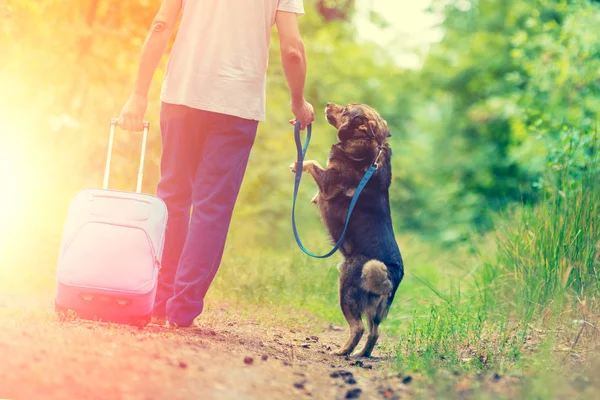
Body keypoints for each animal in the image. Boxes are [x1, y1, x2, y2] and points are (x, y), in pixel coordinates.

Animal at [290, 101, 406, 358]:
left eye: (346, 110)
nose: (328, 104)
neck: (372, 142)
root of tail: (392, 273)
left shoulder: (329, 181)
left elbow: (312, 163)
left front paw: (297, 165)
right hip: (375, 309)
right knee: (374, 332)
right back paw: (360, 354)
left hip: (346, 291)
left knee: (359, 327)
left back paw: (342, 351)